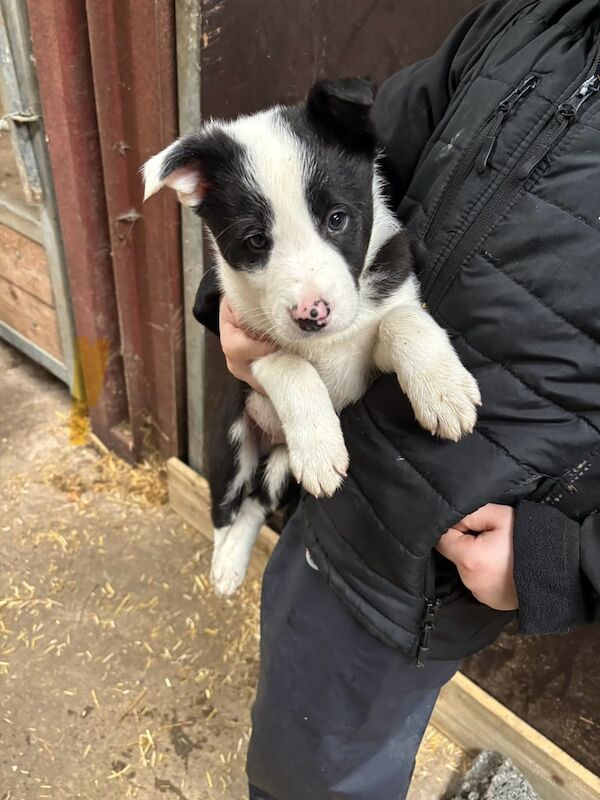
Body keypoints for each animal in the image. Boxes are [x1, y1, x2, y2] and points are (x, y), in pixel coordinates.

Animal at [143, 78, 480, 596]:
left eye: (336, 219)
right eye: (256, 241)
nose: (312, 315)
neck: (325, 341)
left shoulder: (375, 331)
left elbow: (402, 320)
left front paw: (445, 392)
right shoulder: (251, 344)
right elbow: (293, 365)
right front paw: (322, 449)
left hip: (282, 470)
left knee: (257, 503)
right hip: (231, 442)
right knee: (225, 508)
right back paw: (224, 566)